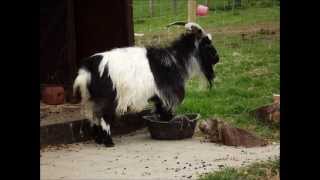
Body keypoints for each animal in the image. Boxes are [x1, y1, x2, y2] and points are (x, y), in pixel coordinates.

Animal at [73, 22, 219, 146]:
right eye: (207, 44)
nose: (217, 58)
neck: (175, 59)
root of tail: (88, 69)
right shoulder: (166, 93)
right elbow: (166, 110)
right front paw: (168, 122)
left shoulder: (159, 96)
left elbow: (160, 110)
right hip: (108, 98)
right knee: (104, 117)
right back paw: (109, 142)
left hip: (92, 98)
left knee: (94, 117)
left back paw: (99, 140)